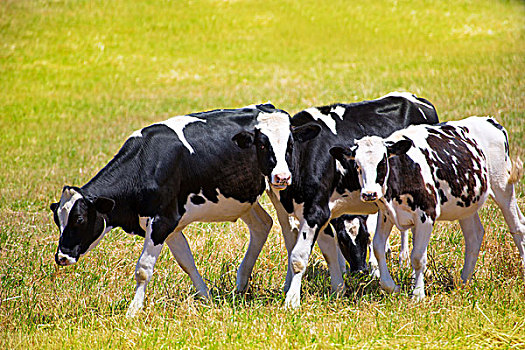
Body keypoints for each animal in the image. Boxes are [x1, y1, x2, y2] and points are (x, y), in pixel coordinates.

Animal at [50, 102, 320, 316]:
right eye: (58, 221)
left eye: (80, 219)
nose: (61, 256)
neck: (147, 162)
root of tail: (267, 106)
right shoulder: (168, 224)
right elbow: (186, 262)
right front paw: (206, 297)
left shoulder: (163, 220)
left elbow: (143, 269)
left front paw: (133, 311)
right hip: (242, 197)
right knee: (262, 225)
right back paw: (241, 283)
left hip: (277, 188)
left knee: (289, 234)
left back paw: (288, 289)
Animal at [266, 91, 438, 308]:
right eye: (263, 144)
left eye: (289, 144)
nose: (359, 271)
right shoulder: (287, 212)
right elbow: (307, 250)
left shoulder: (317, 211)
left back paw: (405, 261)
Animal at [330, 116, 524, 300]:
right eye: (357, 165)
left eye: (382, 162)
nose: (369, 194)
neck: (403, 170)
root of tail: (490, 121)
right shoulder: (386, 214)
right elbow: (378, 247)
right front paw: (391, 286)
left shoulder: (426, 214)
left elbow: (417, 257)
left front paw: (417, 294)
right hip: (467, 202)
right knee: (474, 236)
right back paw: (464, 281)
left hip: (502, 186)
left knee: (517, 227)